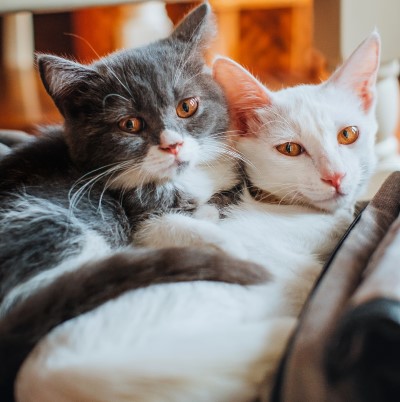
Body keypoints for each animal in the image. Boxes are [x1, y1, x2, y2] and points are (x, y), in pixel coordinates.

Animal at [0, 4, 268, 400]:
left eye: (187, 106)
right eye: (129, 124)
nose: (173, 144)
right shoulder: (132, 214)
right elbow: (166, 225)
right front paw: (229, 244)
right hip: (57, 224)